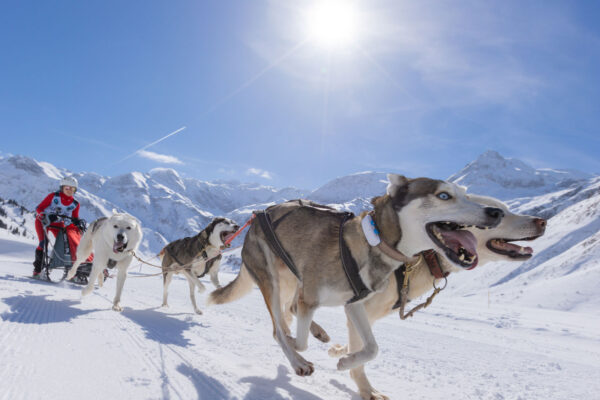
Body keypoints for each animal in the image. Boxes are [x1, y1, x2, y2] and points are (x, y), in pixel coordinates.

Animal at [209, 174, 504, 376]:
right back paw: (297, 359)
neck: (373, 243)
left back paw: (317, 332)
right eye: (444, 196)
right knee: (278, 328)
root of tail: (254, 220)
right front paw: (299, 348)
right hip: (272, 282)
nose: (496, 212)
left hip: (293, 280)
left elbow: (372, 348)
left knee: (289, 310)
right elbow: (298, 340)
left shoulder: (354, 304)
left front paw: (345, 361)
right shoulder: (314, 299)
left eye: (466, 195)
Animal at [328, 193, 548, 396]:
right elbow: (369, 351)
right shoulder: (356, 306)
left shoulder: (365, 315)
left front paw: (340, 352)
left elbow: (361, 345)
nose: (542, 221)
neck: (425, 256)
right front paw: (366, 389)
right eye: (498, 213)